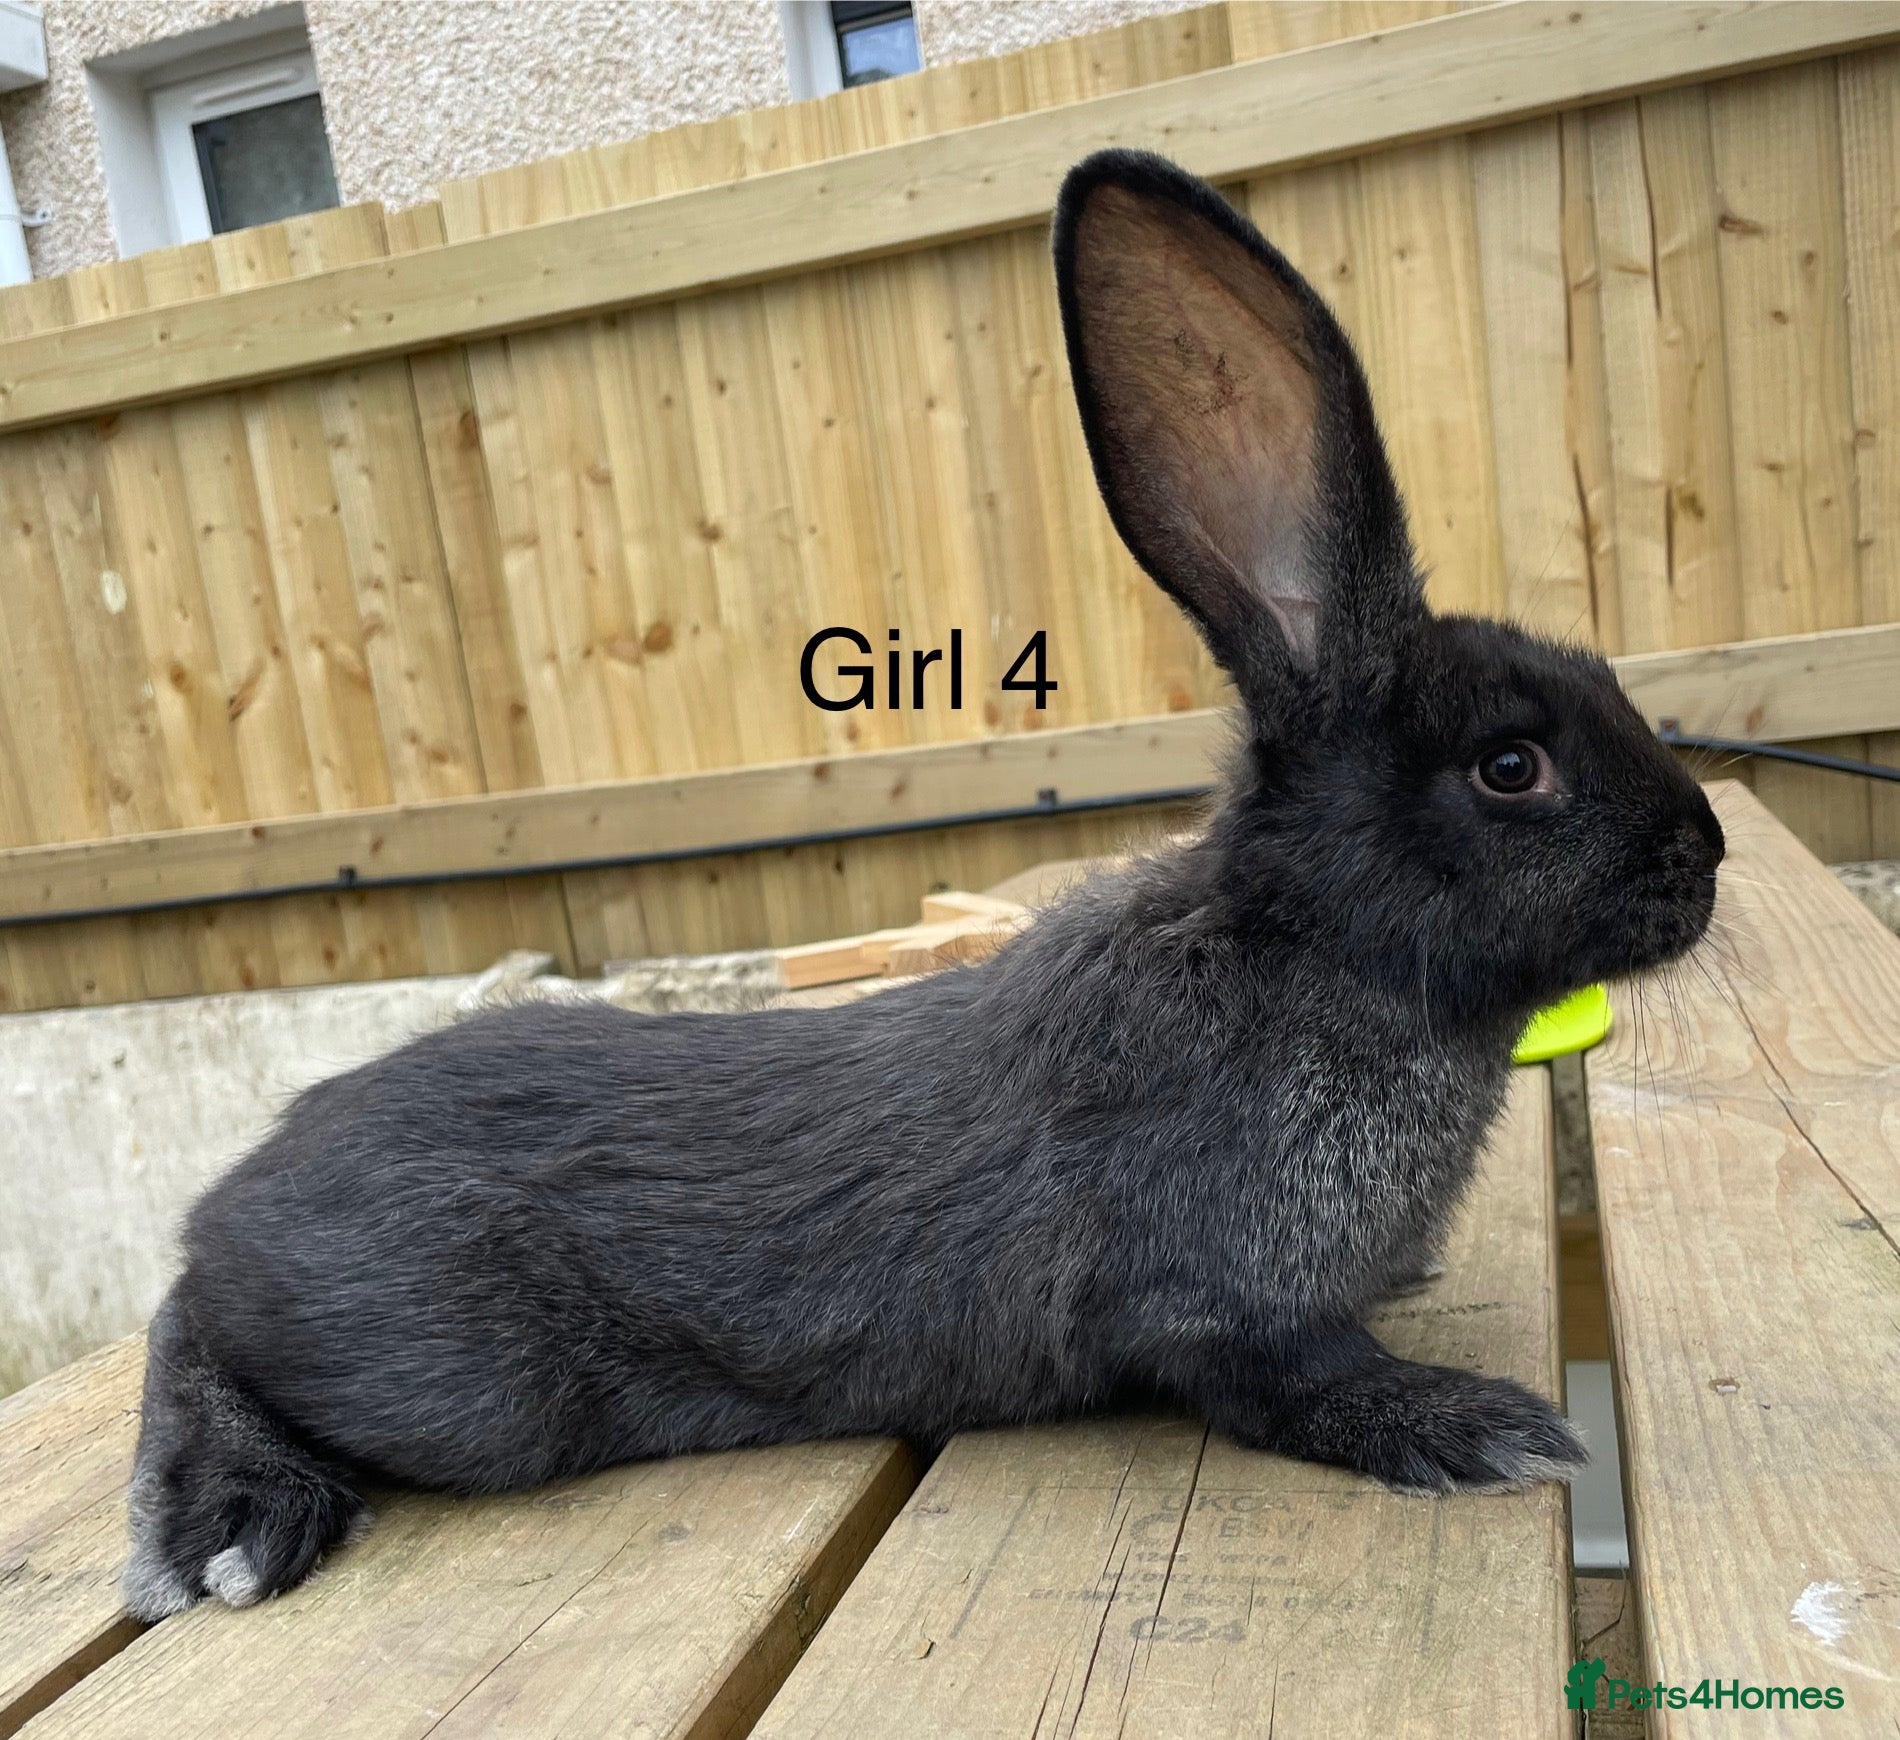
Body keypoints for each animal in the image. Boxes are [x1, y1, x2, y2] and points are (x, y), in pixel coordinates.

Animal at [122, 148, 1724, 1620]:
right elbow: (1294, 1381)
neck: (1302, 946)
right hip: (458, 1392)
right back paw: (232, 1523)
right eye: (1512, 767)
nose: (1703, 860)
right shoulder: (1215, 1304)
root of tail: (241, 1195)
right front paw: (1474, 1428)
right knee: (194, 1328)